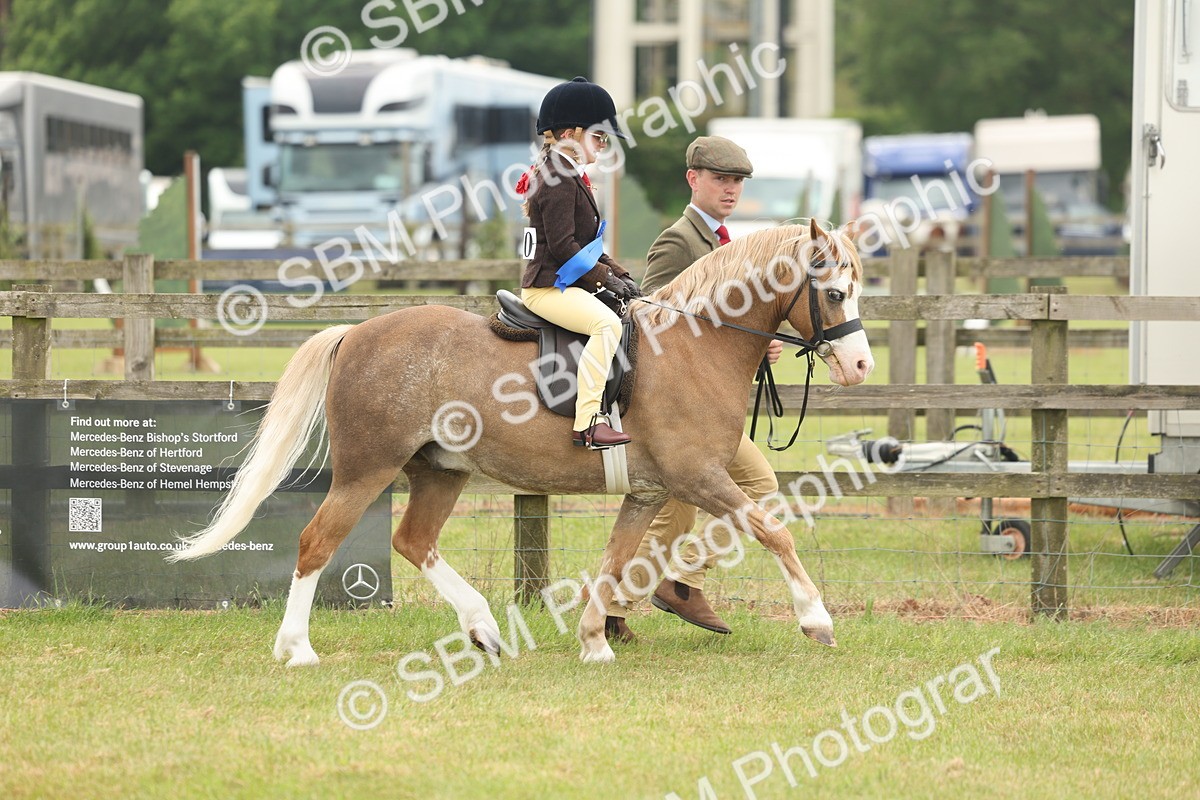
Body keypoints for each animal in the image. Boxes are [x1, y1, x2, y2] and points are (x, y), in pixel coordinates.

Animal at [168, 219, 874, 665]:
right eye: (836, 292)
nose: (862, 366)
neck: (694, 344)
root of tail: (357, 333)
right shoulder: (700, 478)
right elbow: (773, 530)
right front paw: (817, 620)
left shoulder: (648, 493)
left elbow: (616, 561)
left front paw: (594, 642)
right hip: (367, 471)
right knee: (317, 543)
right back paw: (298, 650)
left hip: (440, 471)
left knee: (413, 542)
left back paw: (483, 628)